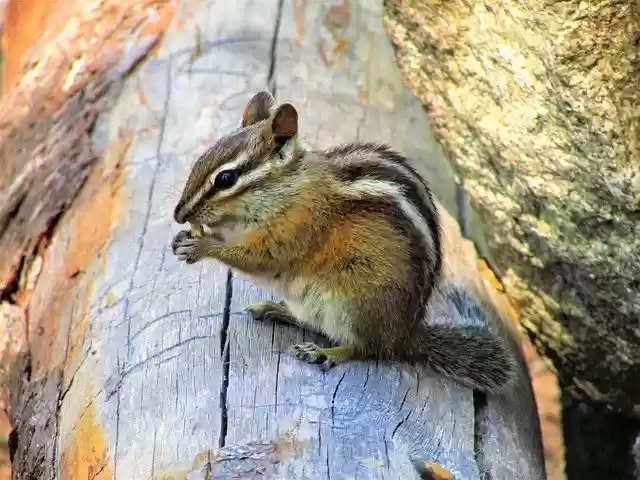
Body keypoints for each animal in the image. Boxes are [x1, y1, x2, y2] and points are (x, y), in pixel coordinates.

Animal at [171, 90, 517, 393]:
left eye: (226, 179)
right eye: (200, 160)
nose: (179, 214)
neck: (288, 188)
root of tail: (406, 334)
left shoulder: (298, 227)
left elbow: (261, 258)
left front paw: (203, 246)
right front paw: (184, 238)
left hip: (355, 302)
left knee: (367, 349)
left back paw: (325, 353)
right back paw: (276, 309)